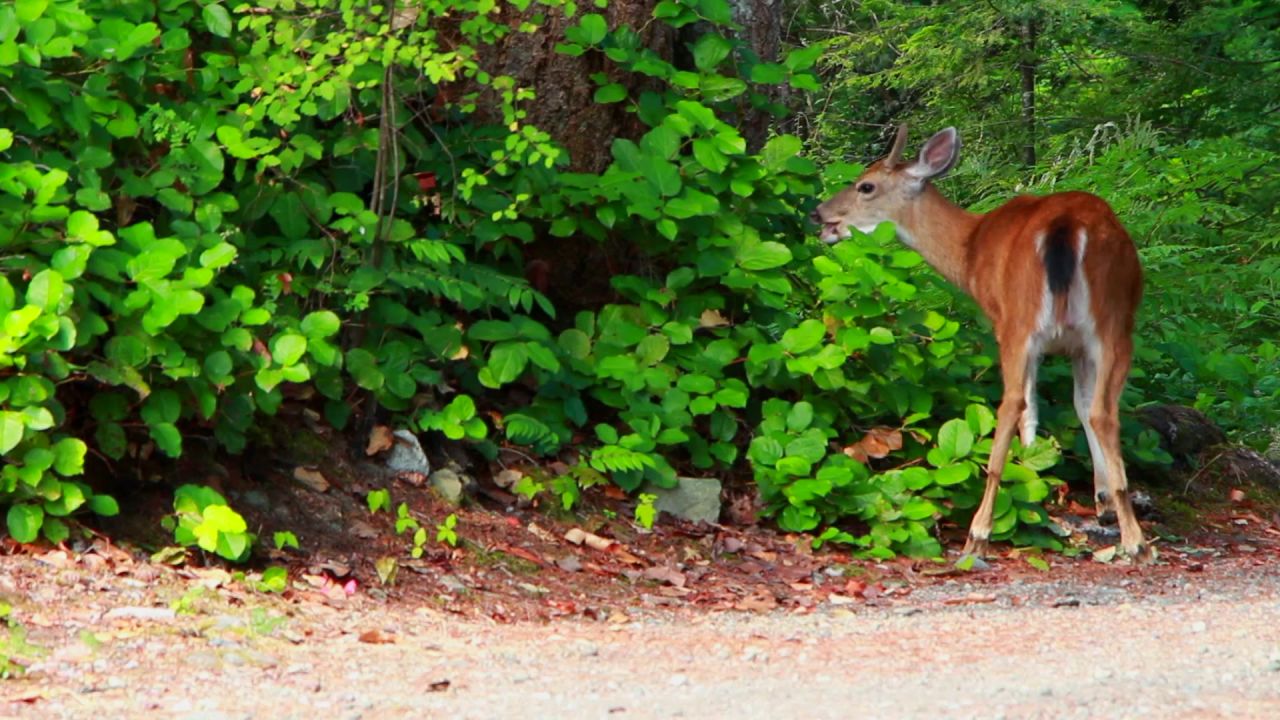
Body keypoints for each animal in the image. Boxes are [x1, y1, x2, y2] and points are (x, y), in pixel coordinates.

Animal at [811, 125, 1149, 562]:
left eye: (865, 185)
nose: (819, 213)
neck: (970, 250)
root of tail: (1067, 226)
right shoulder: (1076, 347)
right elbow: (1081, 405)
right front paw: (1103, 500)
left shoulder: (1007, 325)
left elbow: (1031, 411)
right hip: (1113, 323)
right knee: (1103, 411)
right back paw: (1135, 539)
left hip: (1024, 320)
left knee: (1011, 406)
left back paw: (979, 534)